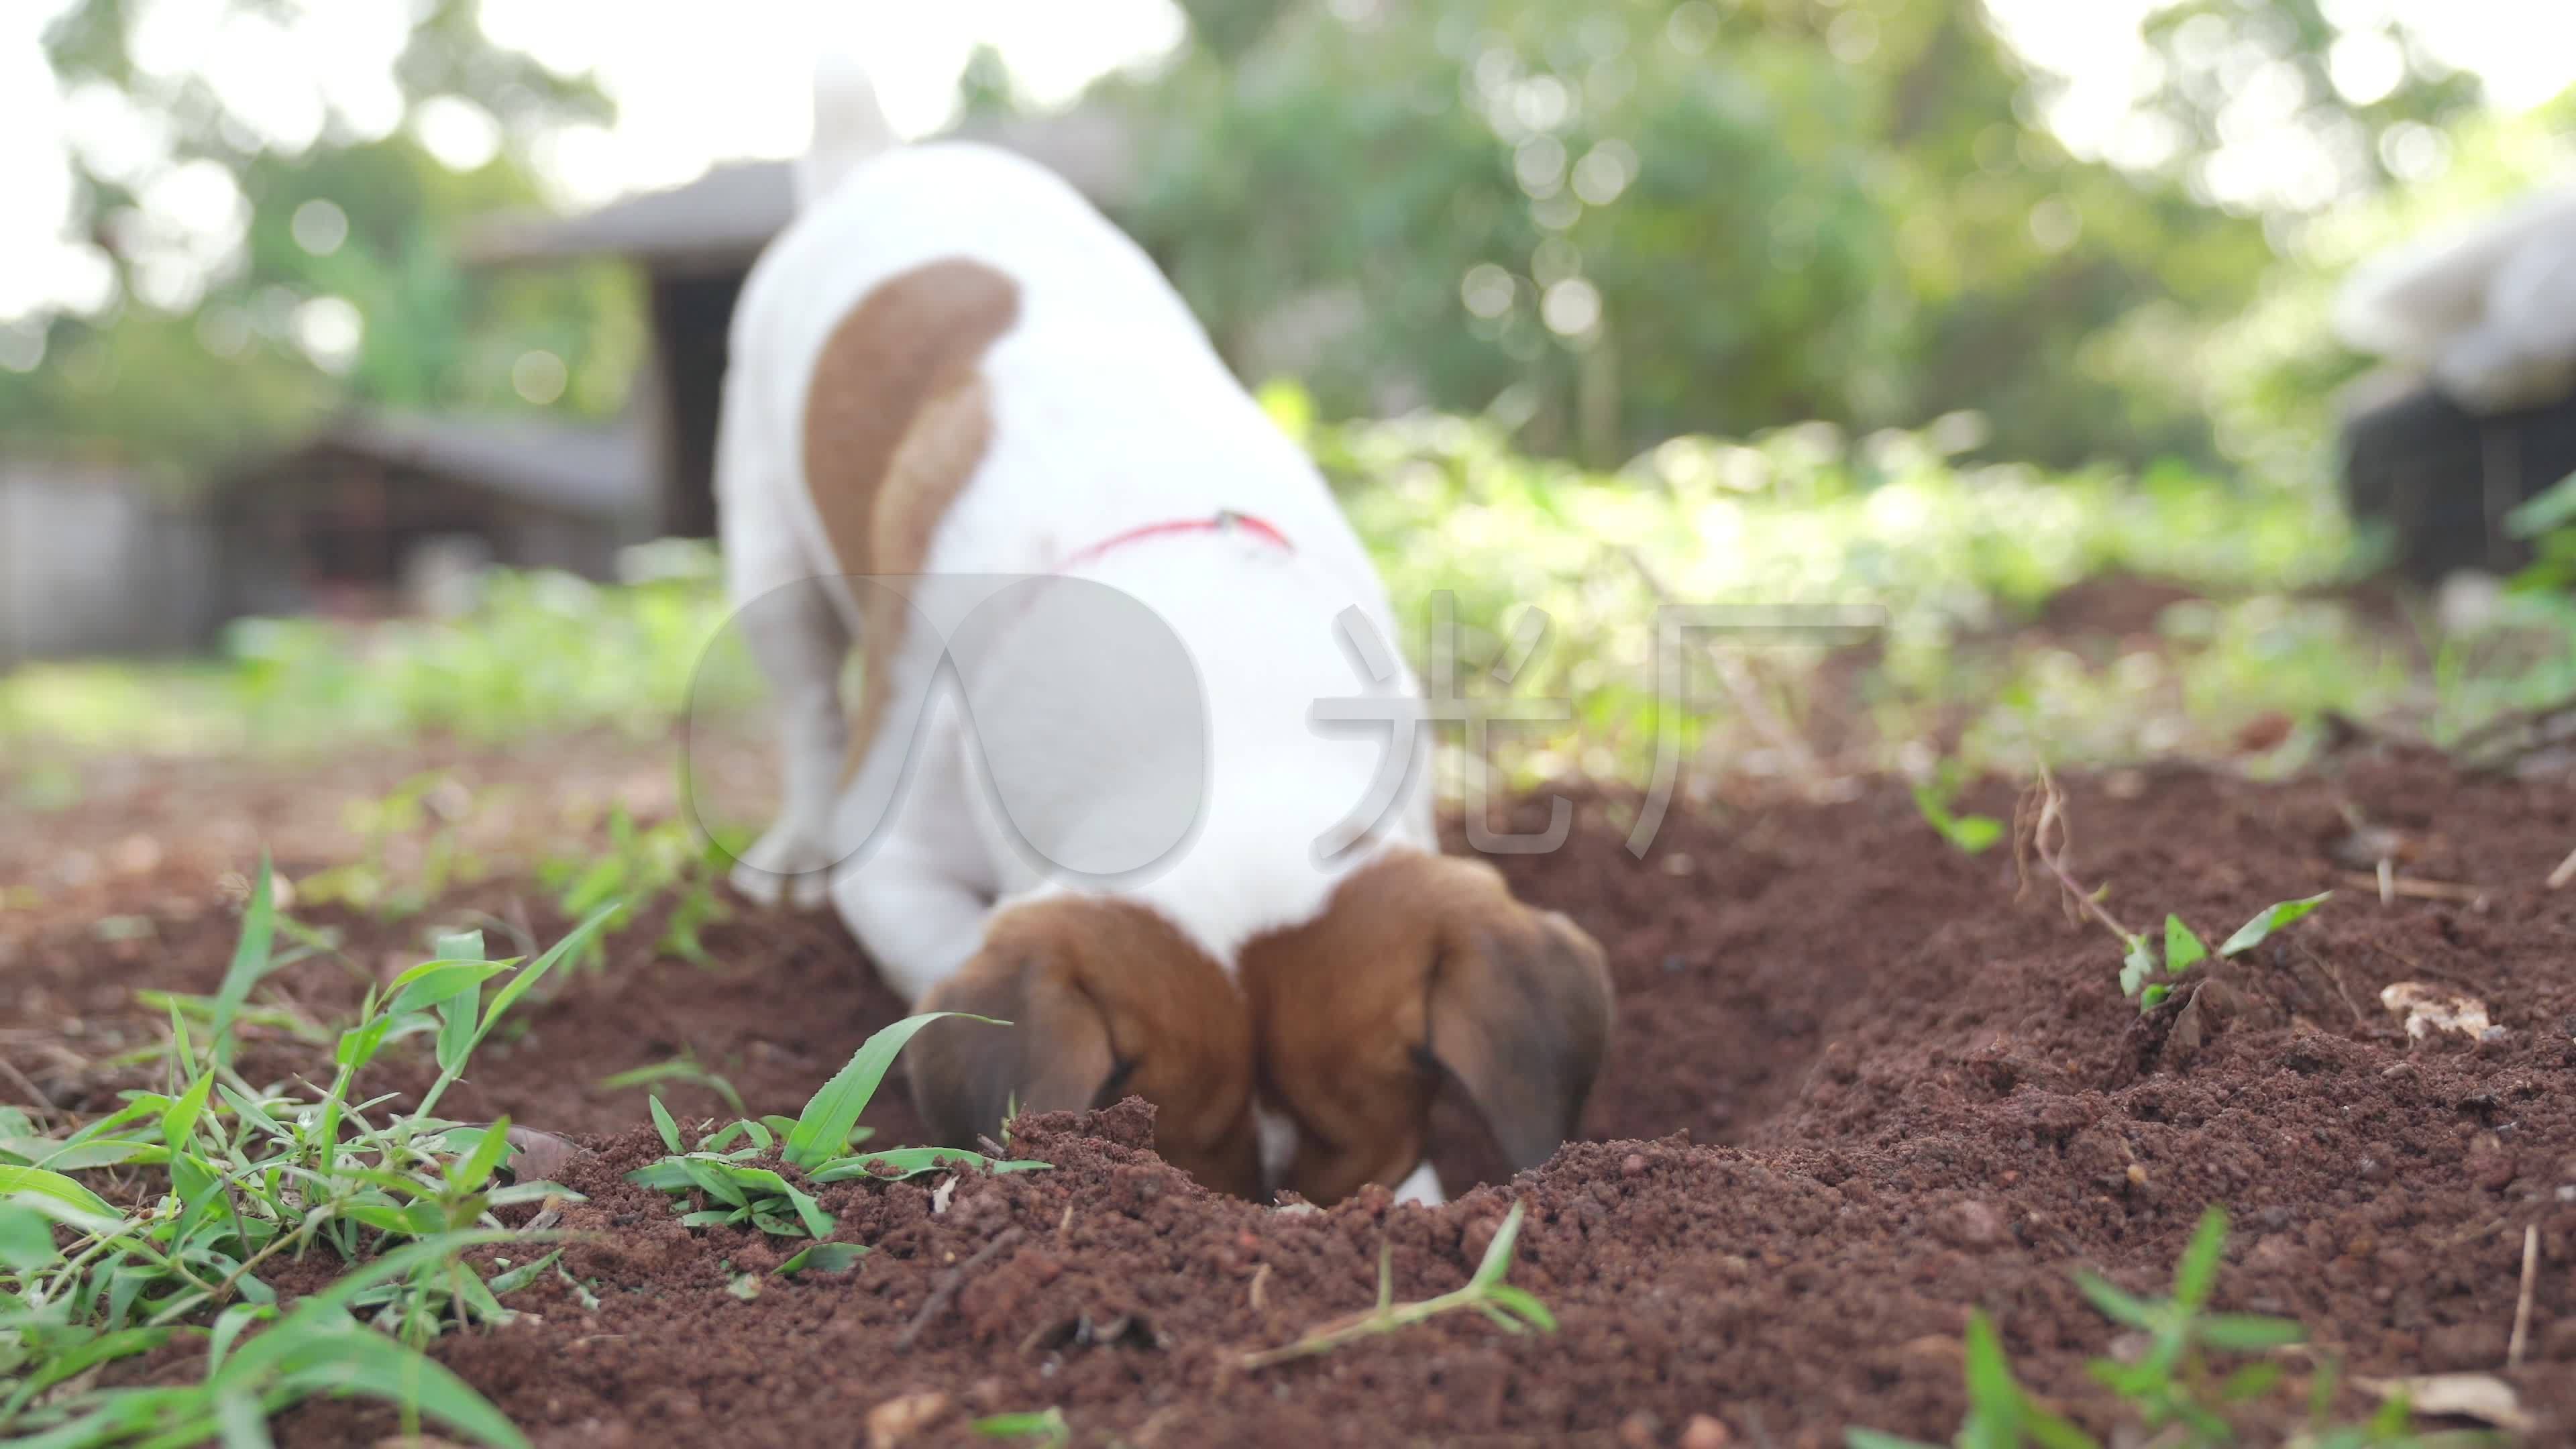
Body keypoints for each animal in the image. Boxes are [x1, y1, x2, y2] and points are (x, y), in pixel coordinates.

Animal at [710, 62, 1607, 1201]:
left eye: (1382, 1153)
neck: (1219, 693)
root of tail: (876, 164)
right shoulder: (895, 869)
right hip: (770, 557)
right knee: (804, 701)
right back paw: (793, 845)